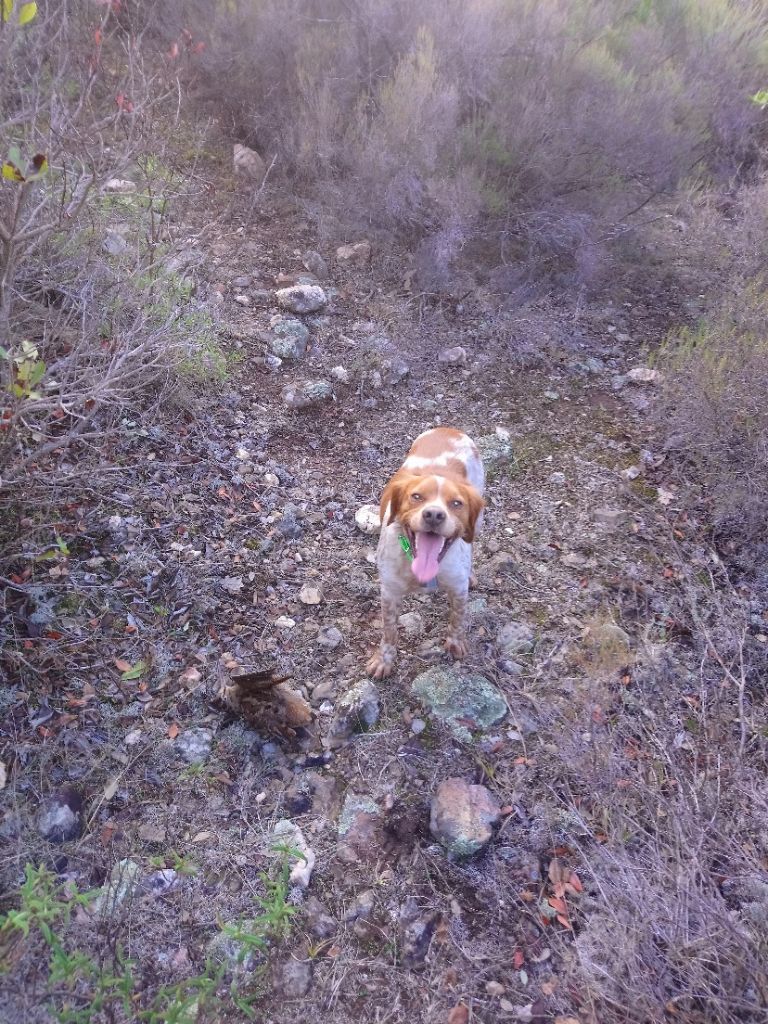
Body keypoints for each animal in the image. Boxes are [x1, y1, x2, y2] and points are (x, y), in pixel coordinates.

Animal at [368, 425, 487, 679]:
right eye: (416, 496)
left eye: (456, 503)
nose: (433, 514)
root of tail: (448, 429)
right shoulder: (390, 592)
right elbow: (390, 631)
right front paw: (384, 660)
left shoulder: (457, 587)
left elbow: (457, 617)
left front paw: (455, 642)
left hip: (479, 518)